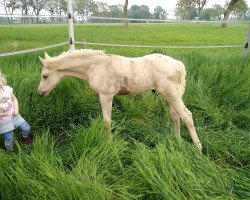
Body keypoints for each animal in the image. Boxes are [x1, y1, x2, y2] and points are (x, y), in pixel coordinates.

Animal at [38, 49, 202, 151]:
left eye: (45, 76)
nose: (40, 93)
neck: (96, 66)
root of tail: (178, 64)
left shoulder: (105, 95)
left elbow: (107, 120)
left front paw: (108, 144)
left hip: (173, 95)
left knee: (187, 116)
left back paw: (198, 148)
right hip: (169, 96)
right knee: (175, 116)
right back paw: (177, 141)